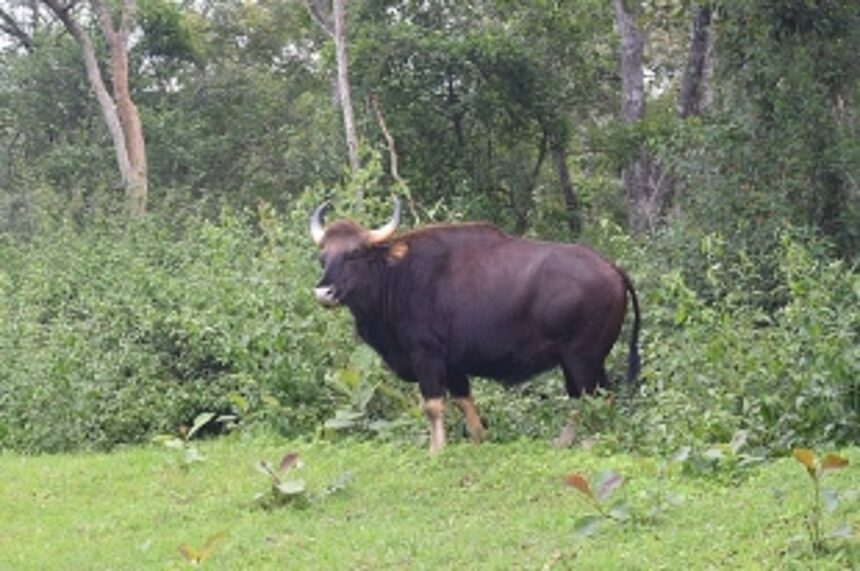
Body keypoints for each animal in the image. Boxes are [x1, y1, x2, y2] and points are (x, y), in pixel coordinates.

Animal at [310, 198, 640, 452]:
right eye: (323, 257)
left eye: (354, 254)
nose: (323, 292)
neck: (397, 278)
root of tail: (611, 268)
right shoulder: (454, 366)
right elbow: (465, 404)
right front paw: (479, 441)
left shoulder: (427, 357)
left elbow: (433, 406)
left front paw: (436, 450)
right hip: (573, 360)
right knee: (580, 400)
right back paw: (563, 443)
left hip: (583, 358)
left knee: (597, 397)